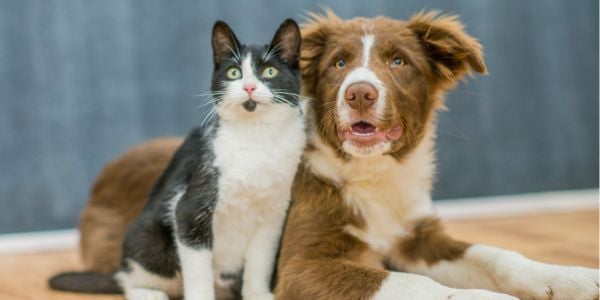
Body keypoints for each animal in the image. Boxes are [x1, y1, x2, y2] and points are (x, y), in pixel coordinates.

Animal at [51, 19, 304, 300]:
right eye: (234, 73)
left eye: (269, 71)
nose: (248, 87)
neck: (256, 138)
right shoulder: (190, 208)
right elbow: (198, 269)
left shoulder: (273, 216)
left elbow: (259, 263)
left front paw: (258, 294)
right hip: (151, 240)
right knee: (128, 278)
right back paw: (148, 293)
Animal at [274, 10, 600, 298]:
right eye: (339, 63)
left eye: (398, 61)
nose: (359, 94)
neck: (374, 173)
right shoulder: (300, 266)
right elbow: (407, 282)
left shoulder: (420, 239)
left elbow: (494, 255)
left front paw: (571, 277)